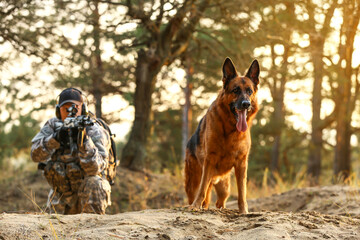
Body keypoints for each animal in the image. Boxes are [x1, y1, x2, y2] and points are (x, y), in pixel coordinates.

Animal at [186, 57, 258, 213]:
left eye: (249, 91)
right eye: (235, 90)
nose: (246, 104)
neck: (231, 130)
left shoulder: (242, 164)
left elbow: (242, 192)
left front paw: (243, 211)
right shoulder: (209, 161)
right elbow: (202, 189)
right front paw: (195, 206)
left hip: (224, 189)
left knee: (220, 202)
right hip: (193, 182)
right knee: (200, 192)